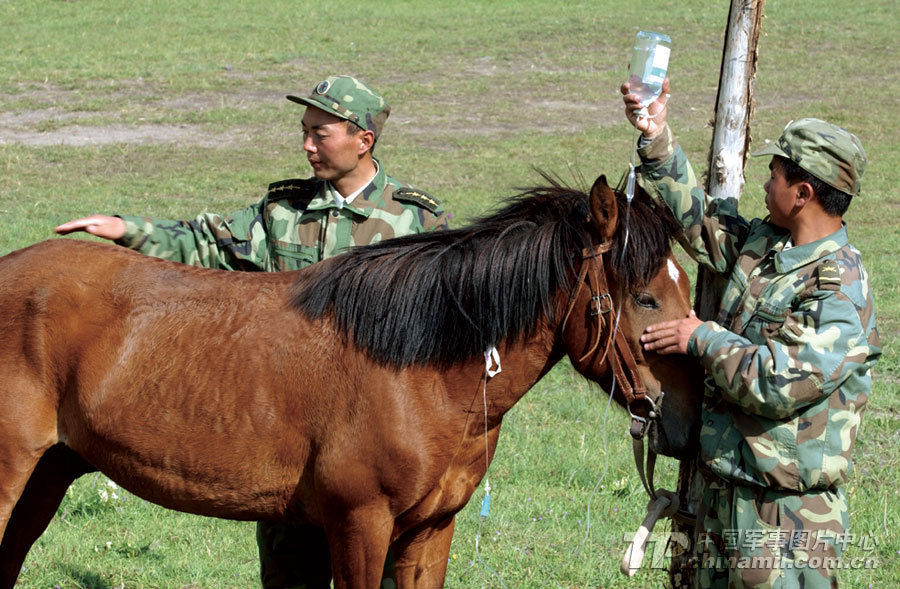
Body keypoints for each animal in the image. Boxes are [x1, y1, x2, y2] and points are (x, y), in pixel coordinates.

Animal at [0, 173, 700, 584]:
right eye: (644, 297)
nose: (685, 414)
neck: (417, 366)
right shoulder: (360, 525)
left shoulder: (430, 531)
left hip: (48, 473)